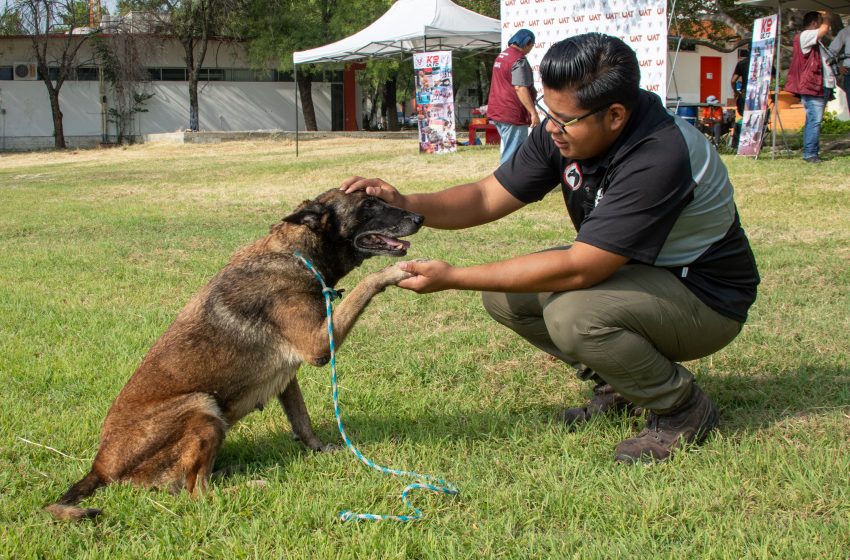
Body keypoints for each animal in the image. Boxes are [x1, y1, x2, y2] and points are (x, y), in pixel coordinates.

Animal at [44, 189, 422, 520]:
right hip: (203, 407)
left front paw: (320, 448)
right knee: (196, 492)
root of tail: (100, 467)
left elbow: (302, 419)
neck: (296, 255)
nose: (419, 217)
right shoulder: (318, 345)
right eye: (368, 205)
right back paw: (250, 484)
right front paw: (392, 273)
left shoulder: (288, 376)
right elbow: (364, 286)